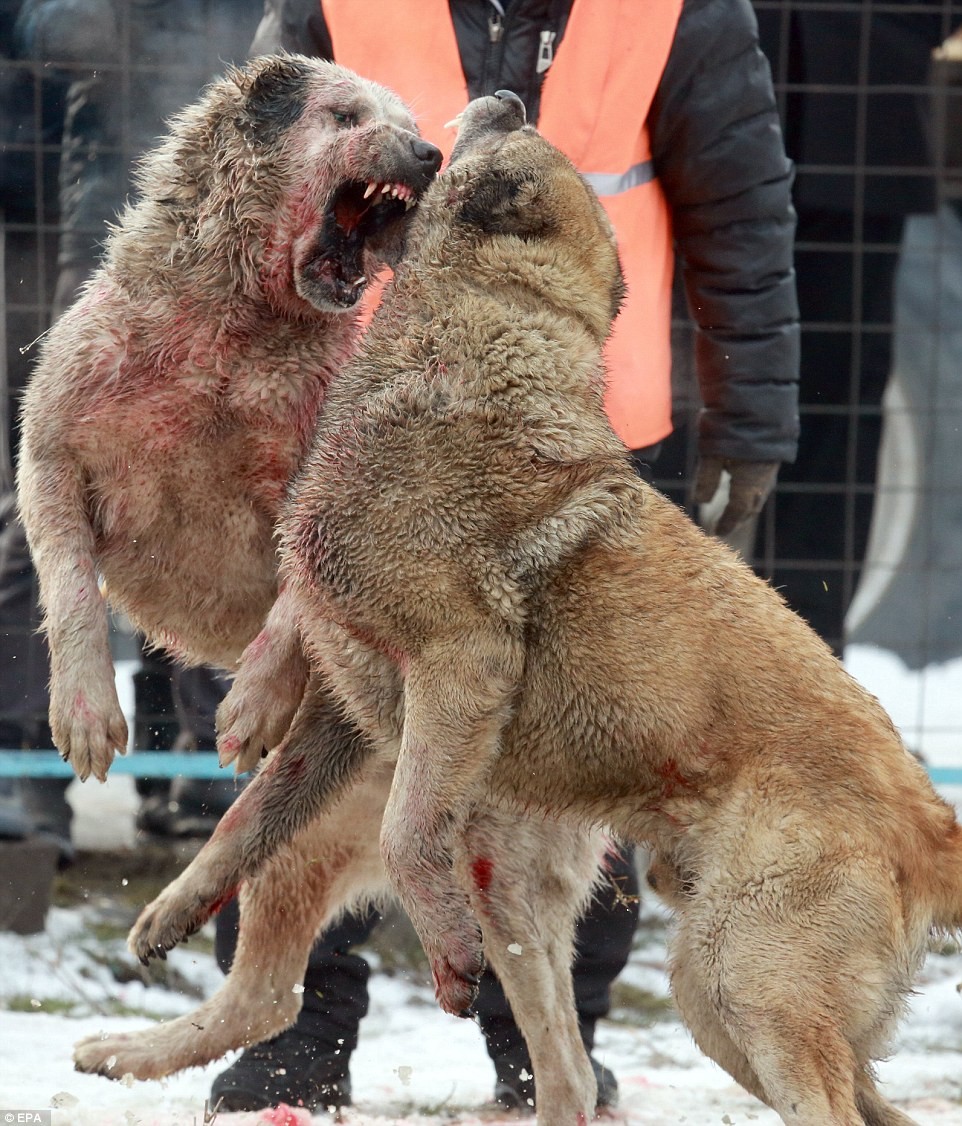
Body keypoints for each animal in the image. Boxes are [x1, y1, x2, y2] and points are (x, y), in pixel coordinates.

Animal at [15, 50, 443, 783]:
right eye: (346, 114)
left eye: (410, 123)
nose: (427, 152)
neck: (233, 330)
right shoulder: (75, 398)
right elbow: (65, 560)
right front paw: (87, 719)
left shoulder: (322, 425)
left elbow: (305, 587)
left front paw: (251, 713)